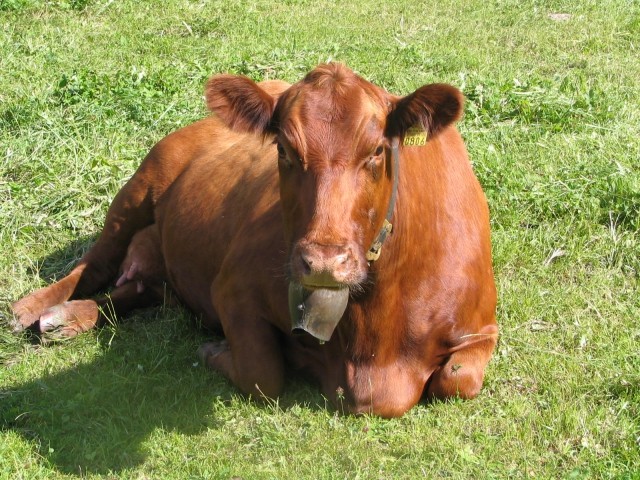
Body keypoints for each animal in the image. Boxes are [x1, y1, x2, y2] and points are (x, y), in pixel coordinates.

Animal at [12, 63, 498, 416]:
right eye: (283, 149)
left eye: (378, 151)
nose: (323, 262)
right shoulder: (234, 289)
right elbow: (264, 375)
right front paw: (214, 350)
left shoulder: (483, 328)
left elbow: (458, 380)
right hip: (142, 182)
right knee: (94, 262)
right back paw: (32, 308)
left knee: (134, 289)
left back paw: (70, 316)